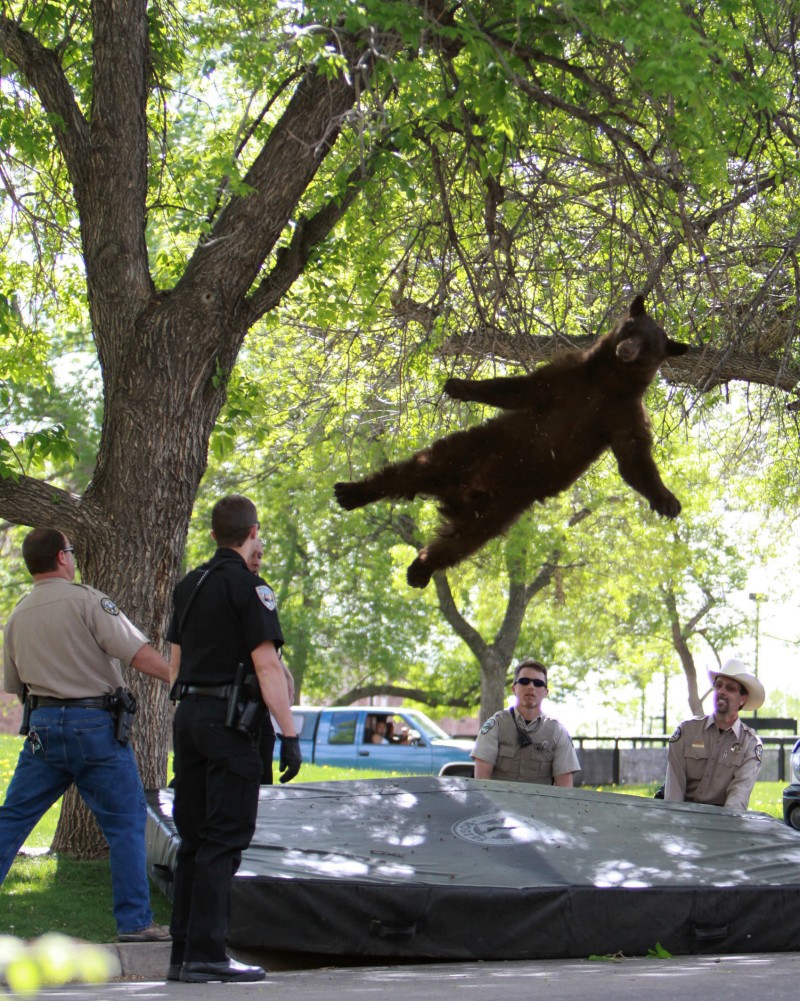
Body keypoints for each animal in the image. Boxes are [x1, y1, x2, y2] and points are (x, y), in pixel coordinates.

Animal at [334, 292, 692, 584]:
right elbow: (518, 388)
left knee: (459, 543)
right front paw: (459, 385)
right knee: (409, 471)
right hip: (467, 450)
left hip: (500, 511)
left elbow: (634, 459)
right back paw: (353, 492)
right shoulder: (568, 377)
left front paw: (667, 501)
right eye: (630, 330)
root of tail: (460, 493)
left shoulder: (623, 414)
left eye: (649, 346)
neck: (608, 381)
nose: (627, 349)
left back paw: (420, 569)